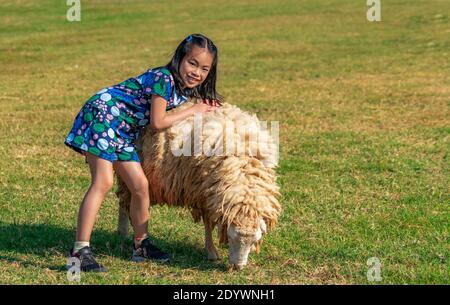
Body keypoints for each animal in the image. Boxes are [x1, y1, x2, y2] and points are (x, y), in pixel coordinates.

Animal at [115, 101, 282, 268]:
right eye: (231, 237)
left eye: (253, 242)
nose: (237, 268)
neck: (242, 169)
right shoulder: (203, 191)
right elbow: (207, 222)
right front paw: (211, 252)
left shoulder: (208, 192)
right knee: (125, 202)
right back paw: (123, 233)